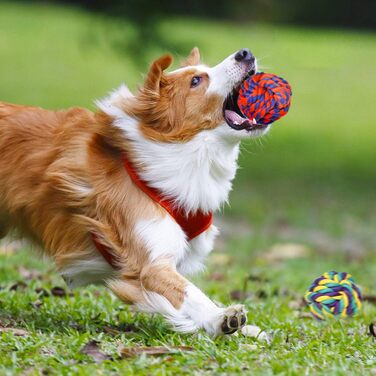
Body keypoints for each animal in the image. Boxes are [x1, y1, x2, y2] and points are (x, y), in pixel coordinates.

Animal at [0, 47, 270, 334]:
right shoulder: (151, 265)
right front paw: (222, 317)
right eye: (196, 81)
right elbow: (191, 293)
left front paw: (244, 330)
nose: (245, 53)